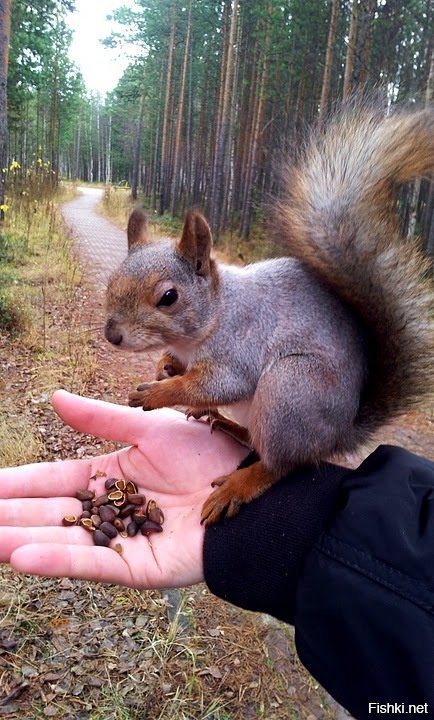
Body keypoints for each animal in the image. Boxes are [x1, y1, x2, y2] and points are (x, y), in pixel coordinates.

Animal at [104, 102, 434, 524]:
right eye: (112, 280)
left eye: (168, 297)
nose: (112, 335)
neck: (214, 317)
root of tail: (338, 435)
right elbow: (182, 368)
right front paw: (165, 366)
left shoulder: (240, 347)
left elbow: (220, 384)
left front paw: (160, 391)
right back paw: (225, 423)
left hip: (291, 390)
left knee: (280, 463)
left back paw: (238, 482)